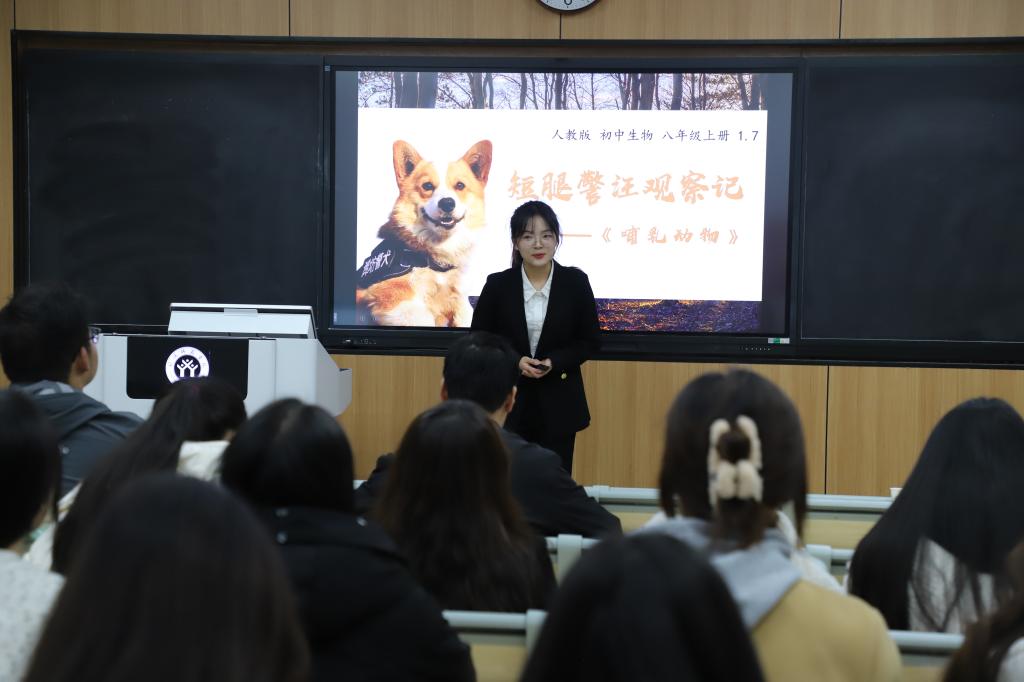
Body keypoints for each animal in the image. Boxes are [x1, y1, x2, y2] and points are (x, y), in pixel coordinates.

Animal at [355, 139, 492, 327]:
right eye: (427, 186)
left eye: (460, 186)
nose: (447, 203)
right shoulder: (392, 293)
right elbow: (422, 317)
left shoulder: (459, 297)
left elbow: (465, 315)